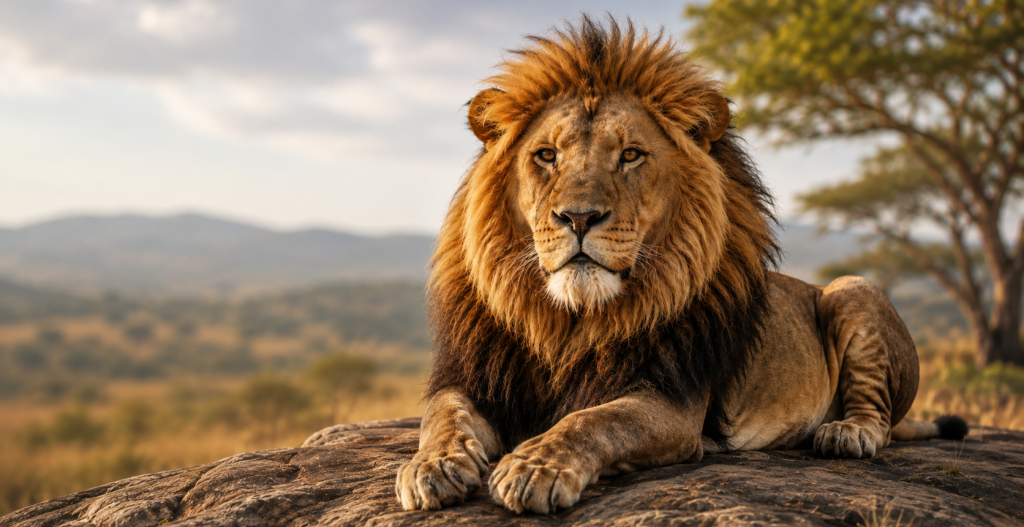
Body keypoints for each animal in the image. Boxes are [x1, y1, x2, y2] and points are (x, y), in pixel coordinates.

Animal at [395, 18, 967, 514]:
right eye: (546, 156)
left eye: (630, 155)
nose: (578, 217)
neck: (568, 323)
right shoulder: (474, 377)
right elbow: (441, 416)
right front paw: (431, 467)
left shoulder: (670, 401)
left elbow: (591, 421)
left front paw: (536, 468)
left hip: (854, 288)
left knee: (881, 419)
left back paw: (846, 433)